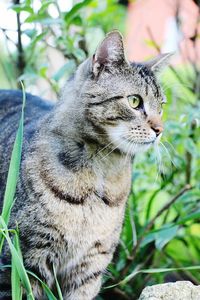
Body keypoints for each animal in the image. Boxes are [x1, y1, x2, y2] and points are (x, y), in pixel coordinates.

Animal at [0, 31, 170, 298]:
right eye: (134, 101)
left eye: (161, 106)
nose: (160, 130)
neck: (101, 173)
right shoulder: (22, 261)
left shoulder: (90, 267)